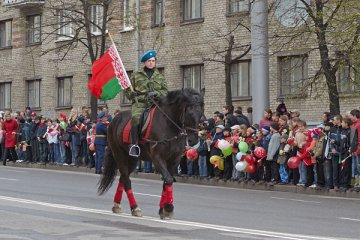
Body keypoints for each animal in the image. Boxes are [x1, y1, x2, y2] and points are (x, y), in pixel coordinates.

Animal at [97, 87, 205, 219]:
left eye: (200, 113)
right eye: (189, 113)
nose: (193, 140)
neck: (169, 125)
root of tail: (114, 120)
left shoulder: (174, 159)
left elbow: (167, 181)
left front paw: (163, 210)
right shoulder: (157, 158)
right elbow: (168, 179)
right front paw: (168, 208)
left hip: (132, 159)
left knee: (123, 178)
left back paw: (117, 205)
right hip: (119, 155)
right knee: (126, 180)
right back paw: (135, 208)